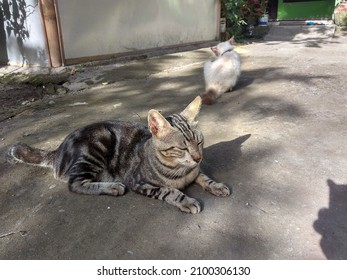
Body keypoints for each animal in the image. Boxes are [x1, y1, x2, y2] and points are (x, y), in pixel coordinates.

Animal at [6, 97, 231, 213]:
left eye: (199, 142)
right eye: (182, 148)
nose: (198, 157)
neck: (179, 171)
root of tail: (59, 149)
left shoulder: (195, 171)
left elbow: (203, 176)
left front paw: (216, 185)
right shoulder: (139, 182)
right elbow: (170, 191)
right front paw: (186, 200)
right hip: (97, 143)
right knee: (75, 184)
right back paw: (112, 186)